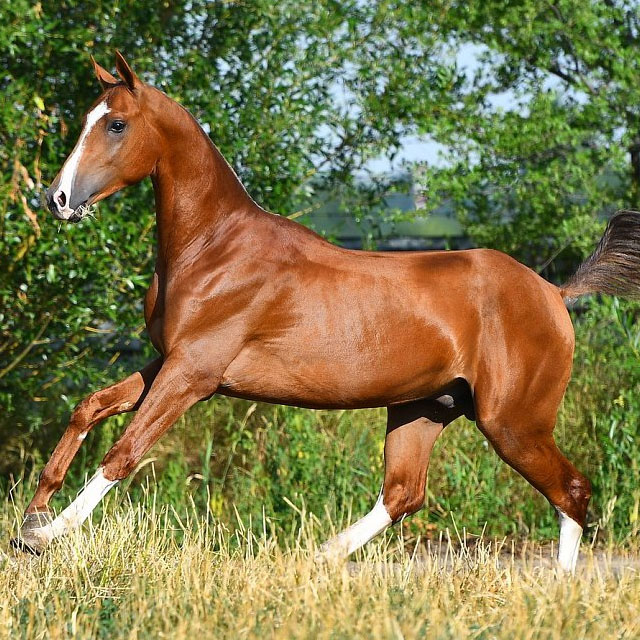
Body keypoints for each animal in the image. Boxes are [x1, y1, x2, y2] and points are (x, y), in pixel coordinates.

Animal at [12, 51, 640, 568]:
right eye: (87, 118)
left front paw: (46, 534)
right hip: (425, 408)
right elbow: (89, 407)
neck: (213, 248)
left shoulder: (194, 373)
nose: (58, 199)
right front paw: (32, 515)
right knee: (404, 493)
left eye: (117, 124)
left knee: (572, 491)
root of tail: (554, 293)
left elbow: (124, 453)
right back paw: (322, 554)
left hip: (513, 422)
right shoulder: (167, 361)